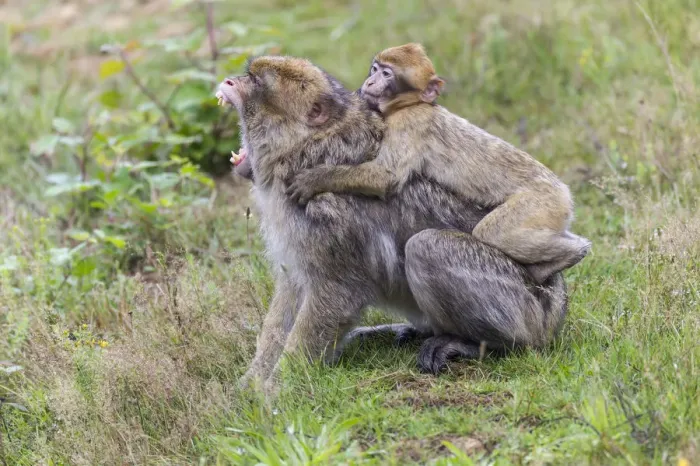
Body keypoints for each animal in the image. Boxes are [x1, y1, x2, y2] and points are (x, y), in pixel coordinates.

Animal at [215, 55, 569, 391]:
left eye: (256, 81)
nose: (230, 81)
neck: (304, 151)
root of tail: (556, 310)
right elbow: (292, 289)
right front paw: (252, 382)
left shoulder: (327, 215)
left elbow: (336, 294)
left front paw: (275, 391)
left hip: (525, 308)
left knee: (428, 246)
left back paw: (479, 344)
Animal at [285, 43, 591, 285]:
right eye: (375, 69)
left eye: (387, 74)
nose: (370, 83)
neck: (408, 105)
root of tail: (564, 193)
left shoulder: (410, 123)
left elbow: (386, 177)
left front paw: (314, 179)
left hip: (541, 203)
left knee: (495, 232)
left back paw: (574, 251)